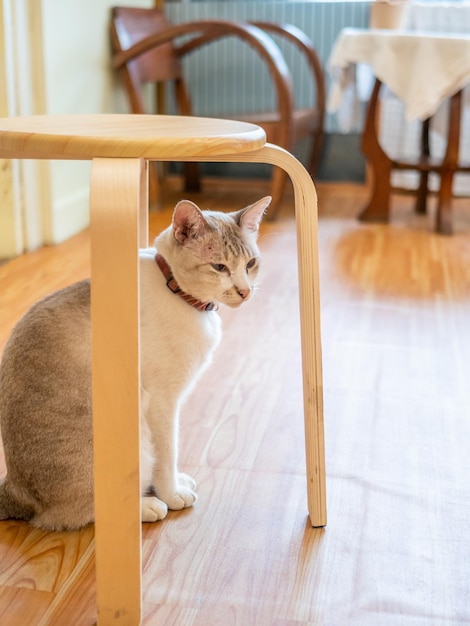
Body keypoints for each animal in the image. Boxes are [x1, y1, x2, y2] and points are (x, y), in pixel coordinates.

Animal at [0, 194, 272, 528]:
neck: (181, 294)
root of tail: (14, 488)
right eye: (219, 267)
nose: (245, 291)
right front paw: (173, 494)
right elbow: (168, 454)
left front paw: (178, 483)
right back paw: (148, 506)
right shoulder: (164, 402)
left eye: (250, 264)